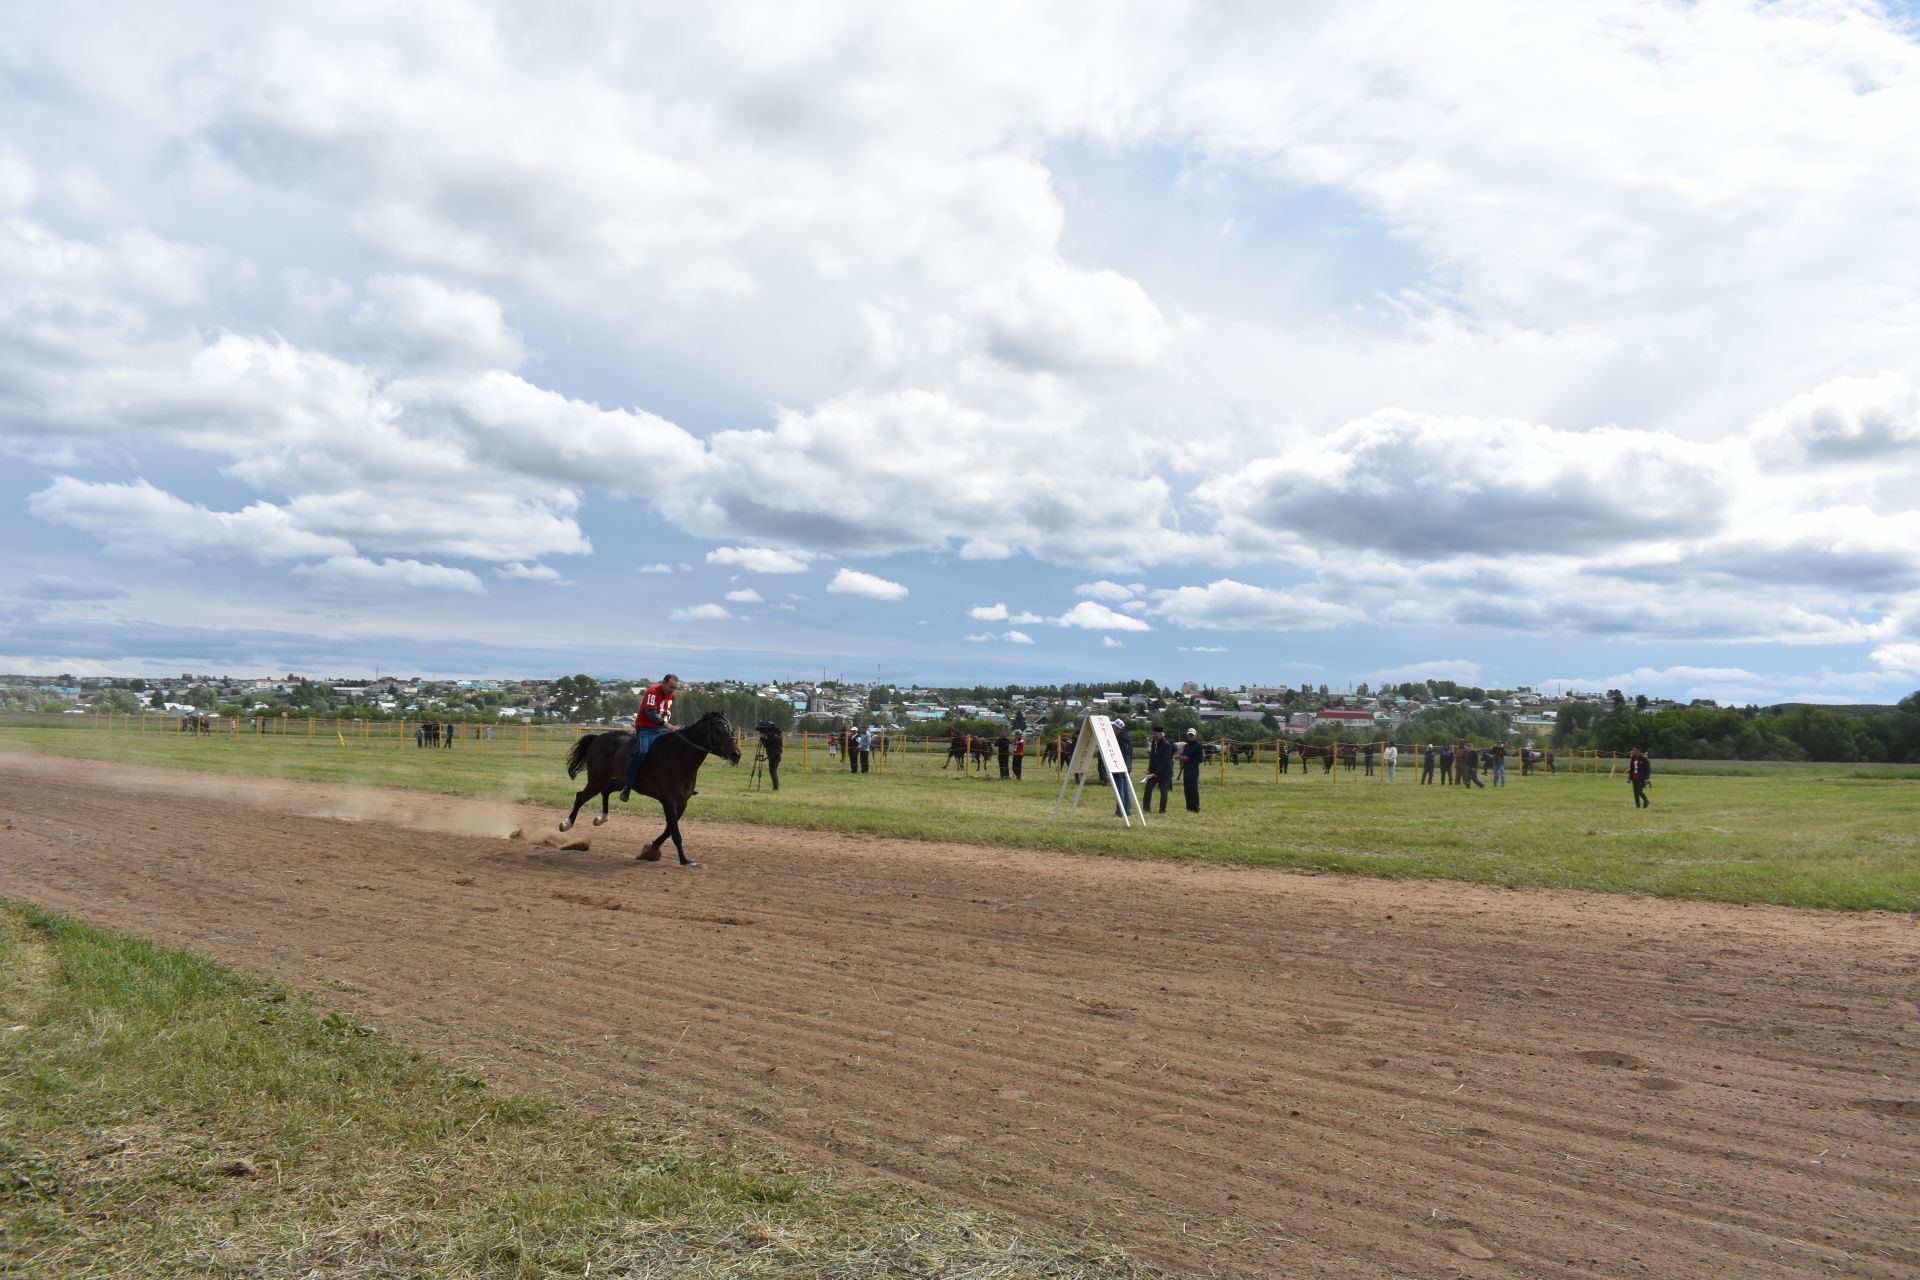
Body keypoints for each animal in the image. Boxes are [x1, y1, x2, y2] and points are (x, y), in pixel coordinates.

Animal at [560, 717, 737, 867]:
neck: (680, 756)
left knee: (606, 791)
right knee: (580, 797)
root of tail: (597, 738)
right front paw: (684, 860)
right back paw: (566, 824)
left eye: (731, 729)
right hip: (597, 779)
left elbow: (669, 829)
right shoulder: (668, 800)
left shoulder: (681, 802)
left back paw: (601, 818)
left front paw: (650, 849)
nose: (736, 754)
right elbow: (675, 832)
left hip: (619, 780)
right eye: (719, 730)